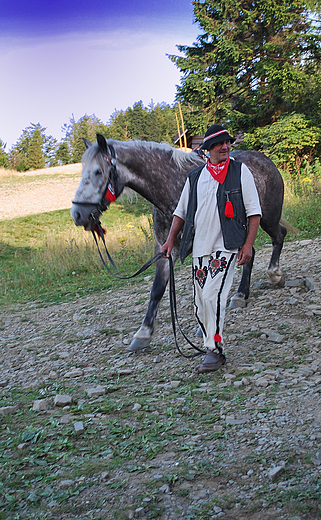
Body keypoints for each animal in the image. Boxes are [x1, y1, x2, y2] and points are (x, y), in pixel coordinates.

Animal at [70, 134, 284, 352]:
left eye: (98, 171)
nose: (77, 214)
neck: (175, 188)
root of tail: (264, 160)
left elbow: (206, 287)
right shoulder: (165, 249)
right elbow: (157, 289)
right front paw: (143, 333)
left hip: (267, 218)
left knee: (278, 236)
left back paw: (274, 274)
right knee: (251, 253)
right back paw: (241, 294)